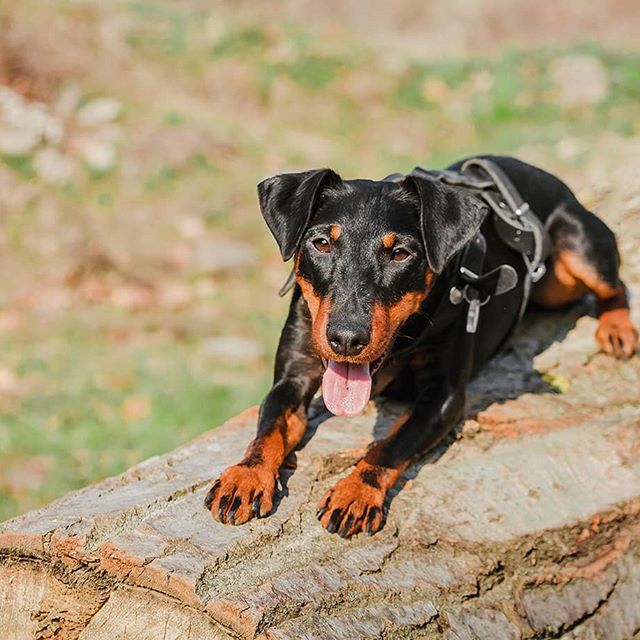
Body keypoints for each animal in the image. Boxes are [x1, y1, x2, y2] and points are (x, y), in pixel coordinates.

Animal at [204, 158, 636, 536]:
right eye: (322, 243)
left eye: (400, 253)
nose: (346, 339)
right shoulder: (293, 374)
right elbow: (269, 424)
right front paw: (245, 477)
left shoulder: (444, 397)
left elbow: (391, 445)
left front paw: (355, 494)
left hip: (578, 251)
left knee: (615, 285)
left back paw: (618, 329)